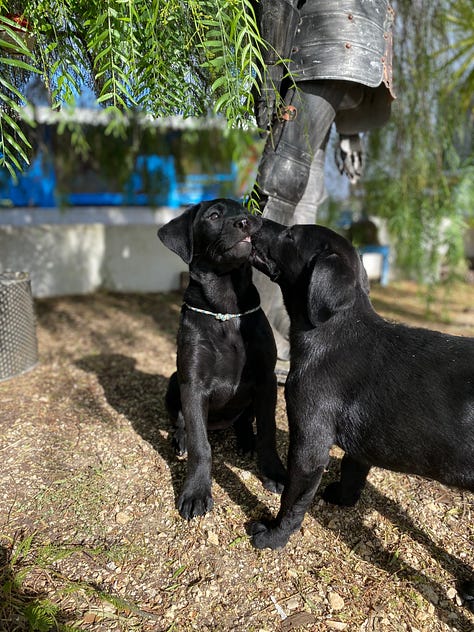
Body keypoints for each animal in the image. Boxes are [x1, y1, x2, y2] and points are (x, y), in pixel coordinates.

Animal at [158, 198, 286, 520]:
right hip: (174, 381)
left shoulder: (266, 379)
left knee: (244, 421)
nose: (246, 223)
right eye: (214, 216)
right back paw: (180, 440)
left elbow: (268, 431)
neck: (226, 309)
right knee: (183, 423)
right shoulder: (192, 383)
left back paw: (245, 440)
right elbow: (201, 446)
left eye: (246, 211)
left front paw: (274, 473)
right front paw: (195, 492)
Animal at [250, 217, 472, 552]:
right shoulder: (363, 442)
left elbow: (293, 500)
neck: (332, 331)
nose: (252, 220)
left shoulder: (310, 444)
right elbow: (352, 471)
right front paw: (343, 498)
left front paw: (274, 535)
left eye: (290, 235)